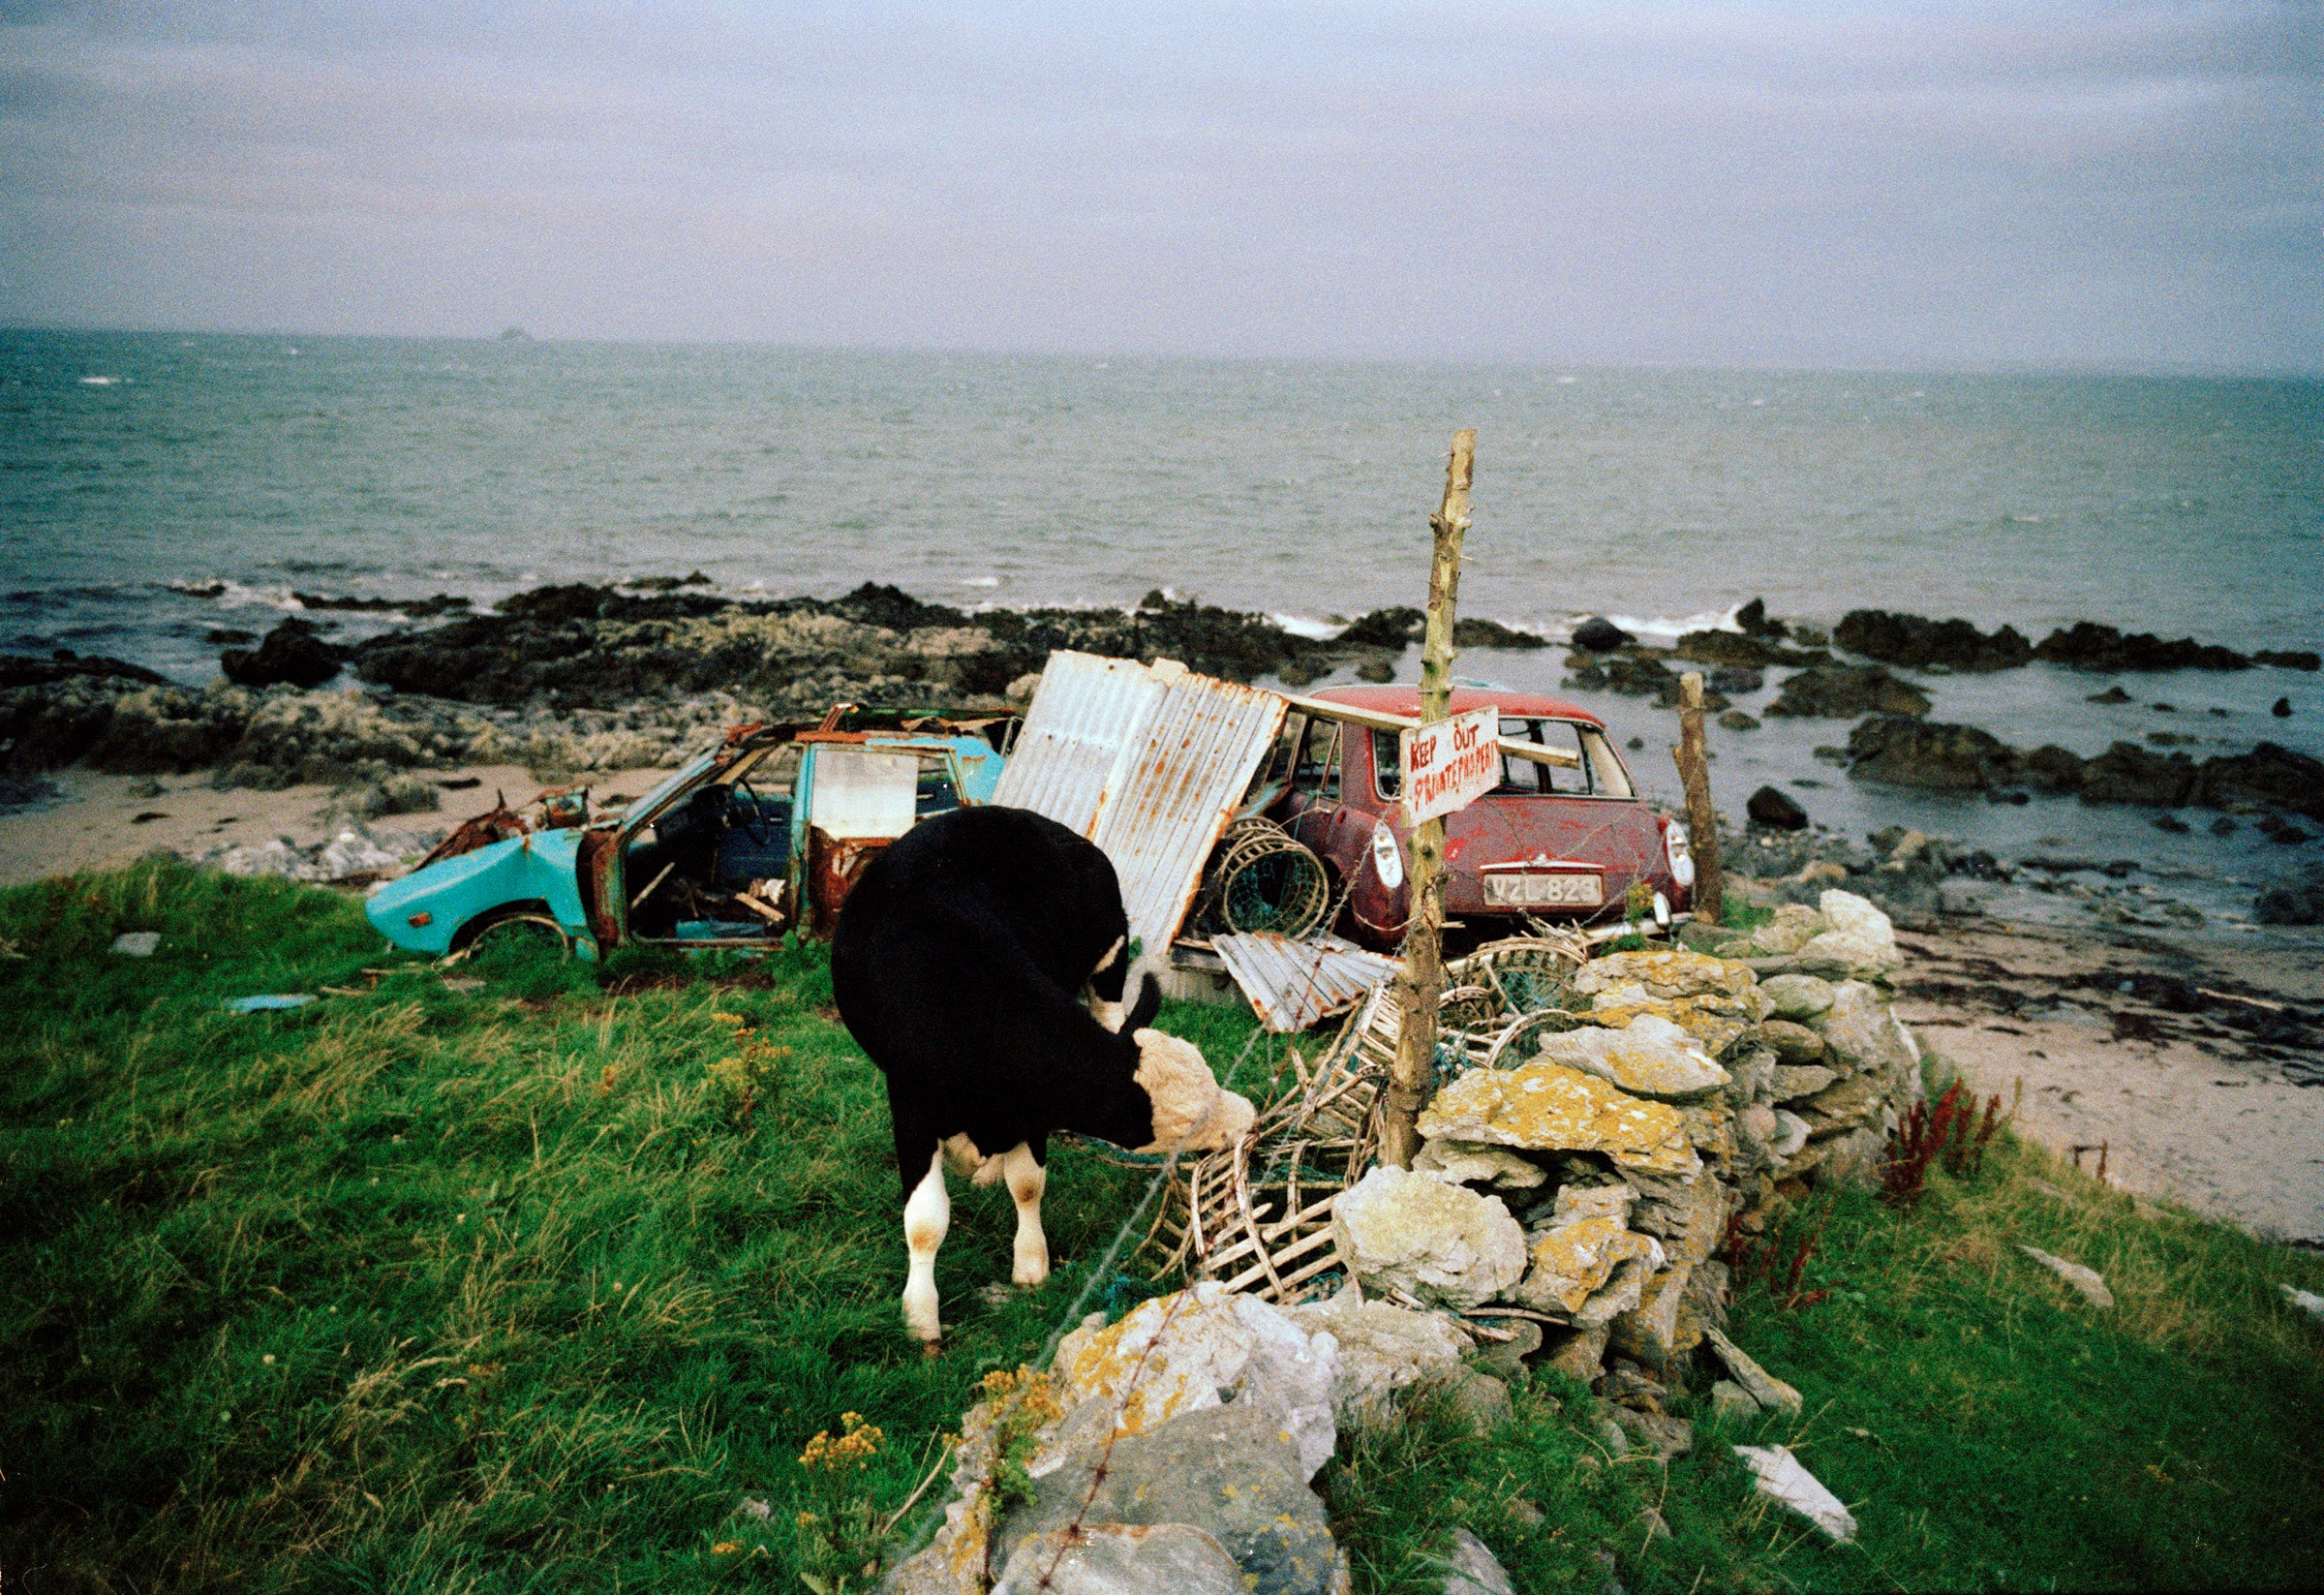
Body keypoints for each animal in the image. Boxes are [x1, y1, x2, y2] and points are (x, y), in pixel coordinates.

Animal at [827, 804, 1245, 1338]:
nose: (1250, 1115)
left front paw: (1030, 1264)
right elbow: (924, 1222)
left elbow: (1027, 1183)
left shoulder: (1031, 1109)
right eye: (1188, 1119)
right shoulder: (911, 1105)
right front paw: (921, 1318)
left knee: (1113, 1019)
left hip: (1109, 961)